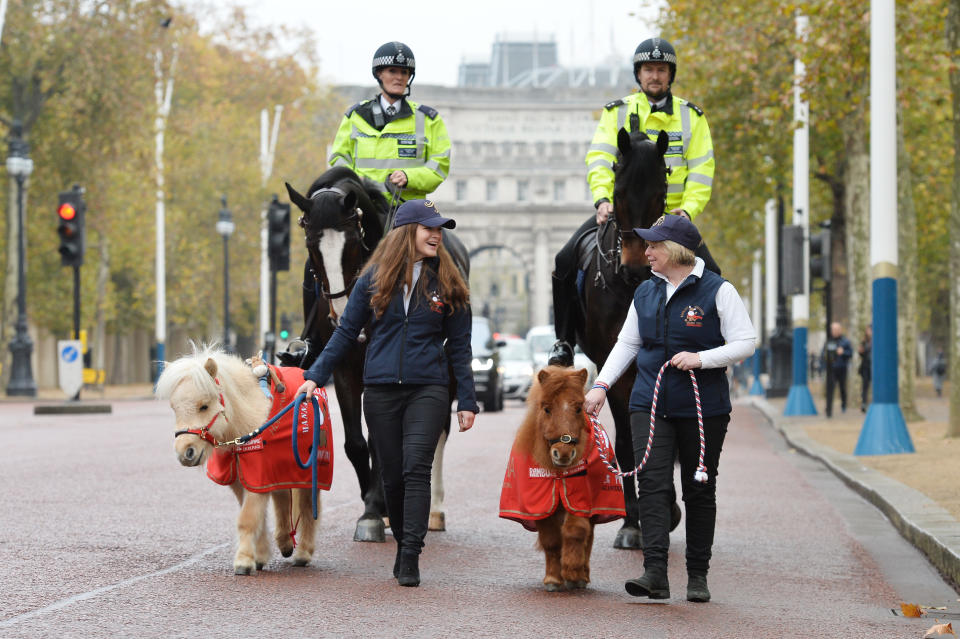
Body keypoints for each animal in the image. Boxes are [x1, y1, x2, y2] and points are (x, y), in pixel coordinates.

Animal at [154, 348, 326, 576]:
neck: (246, 426)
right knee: (282, 498)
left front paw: (244, 561)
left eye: (204, 406)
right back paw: (285, 543)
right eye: (174, 408)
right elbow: (258, 518)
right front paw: (259, 556)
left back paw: (303, 553)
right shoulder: (244, 479)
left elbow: (248, 519)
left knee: (307, 507)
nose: (185, 453)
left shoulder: (258, 476)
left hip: (308, 473)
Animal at [282, 168, 468, 544]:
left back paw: (434, 511)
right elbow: (356, 443)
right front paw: (373, 507)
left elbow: (382, 442)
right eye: (310, 245)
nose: (343, 316)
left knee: (439, 432)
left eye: (355, 241)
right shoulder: (344, 368)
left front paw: (375, 508)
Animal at [498, 368, 628, 592]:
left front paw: (572, 571)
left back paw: (582, 573)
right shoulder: (541, 506)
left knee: (588, 537)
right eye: (546, 409)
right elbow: (551, 540)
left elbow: (575, 532)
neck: (556, 471)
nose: (564, 453)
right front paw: (553, 578)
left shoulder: (578, 500)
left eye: (578, 408)